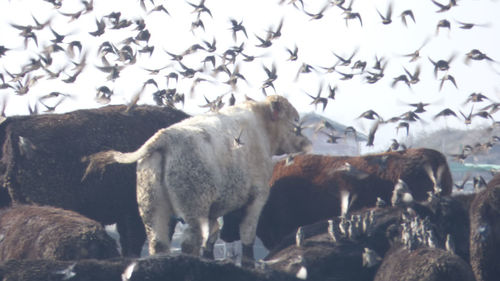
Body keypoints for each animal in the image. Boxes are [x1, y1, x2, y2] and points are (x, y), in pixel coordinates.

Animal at [83, 94, 310, 264]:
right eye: (295, 120)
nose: (306, 142)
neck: (260, 127)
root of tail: (164, 137)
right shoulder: (257, 197)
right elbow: (247, 235)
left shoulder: (214, 210)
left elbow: (212, 238)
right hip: (193, 208)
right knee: (189, 244)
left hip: (152, 207)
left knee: (159, 244)